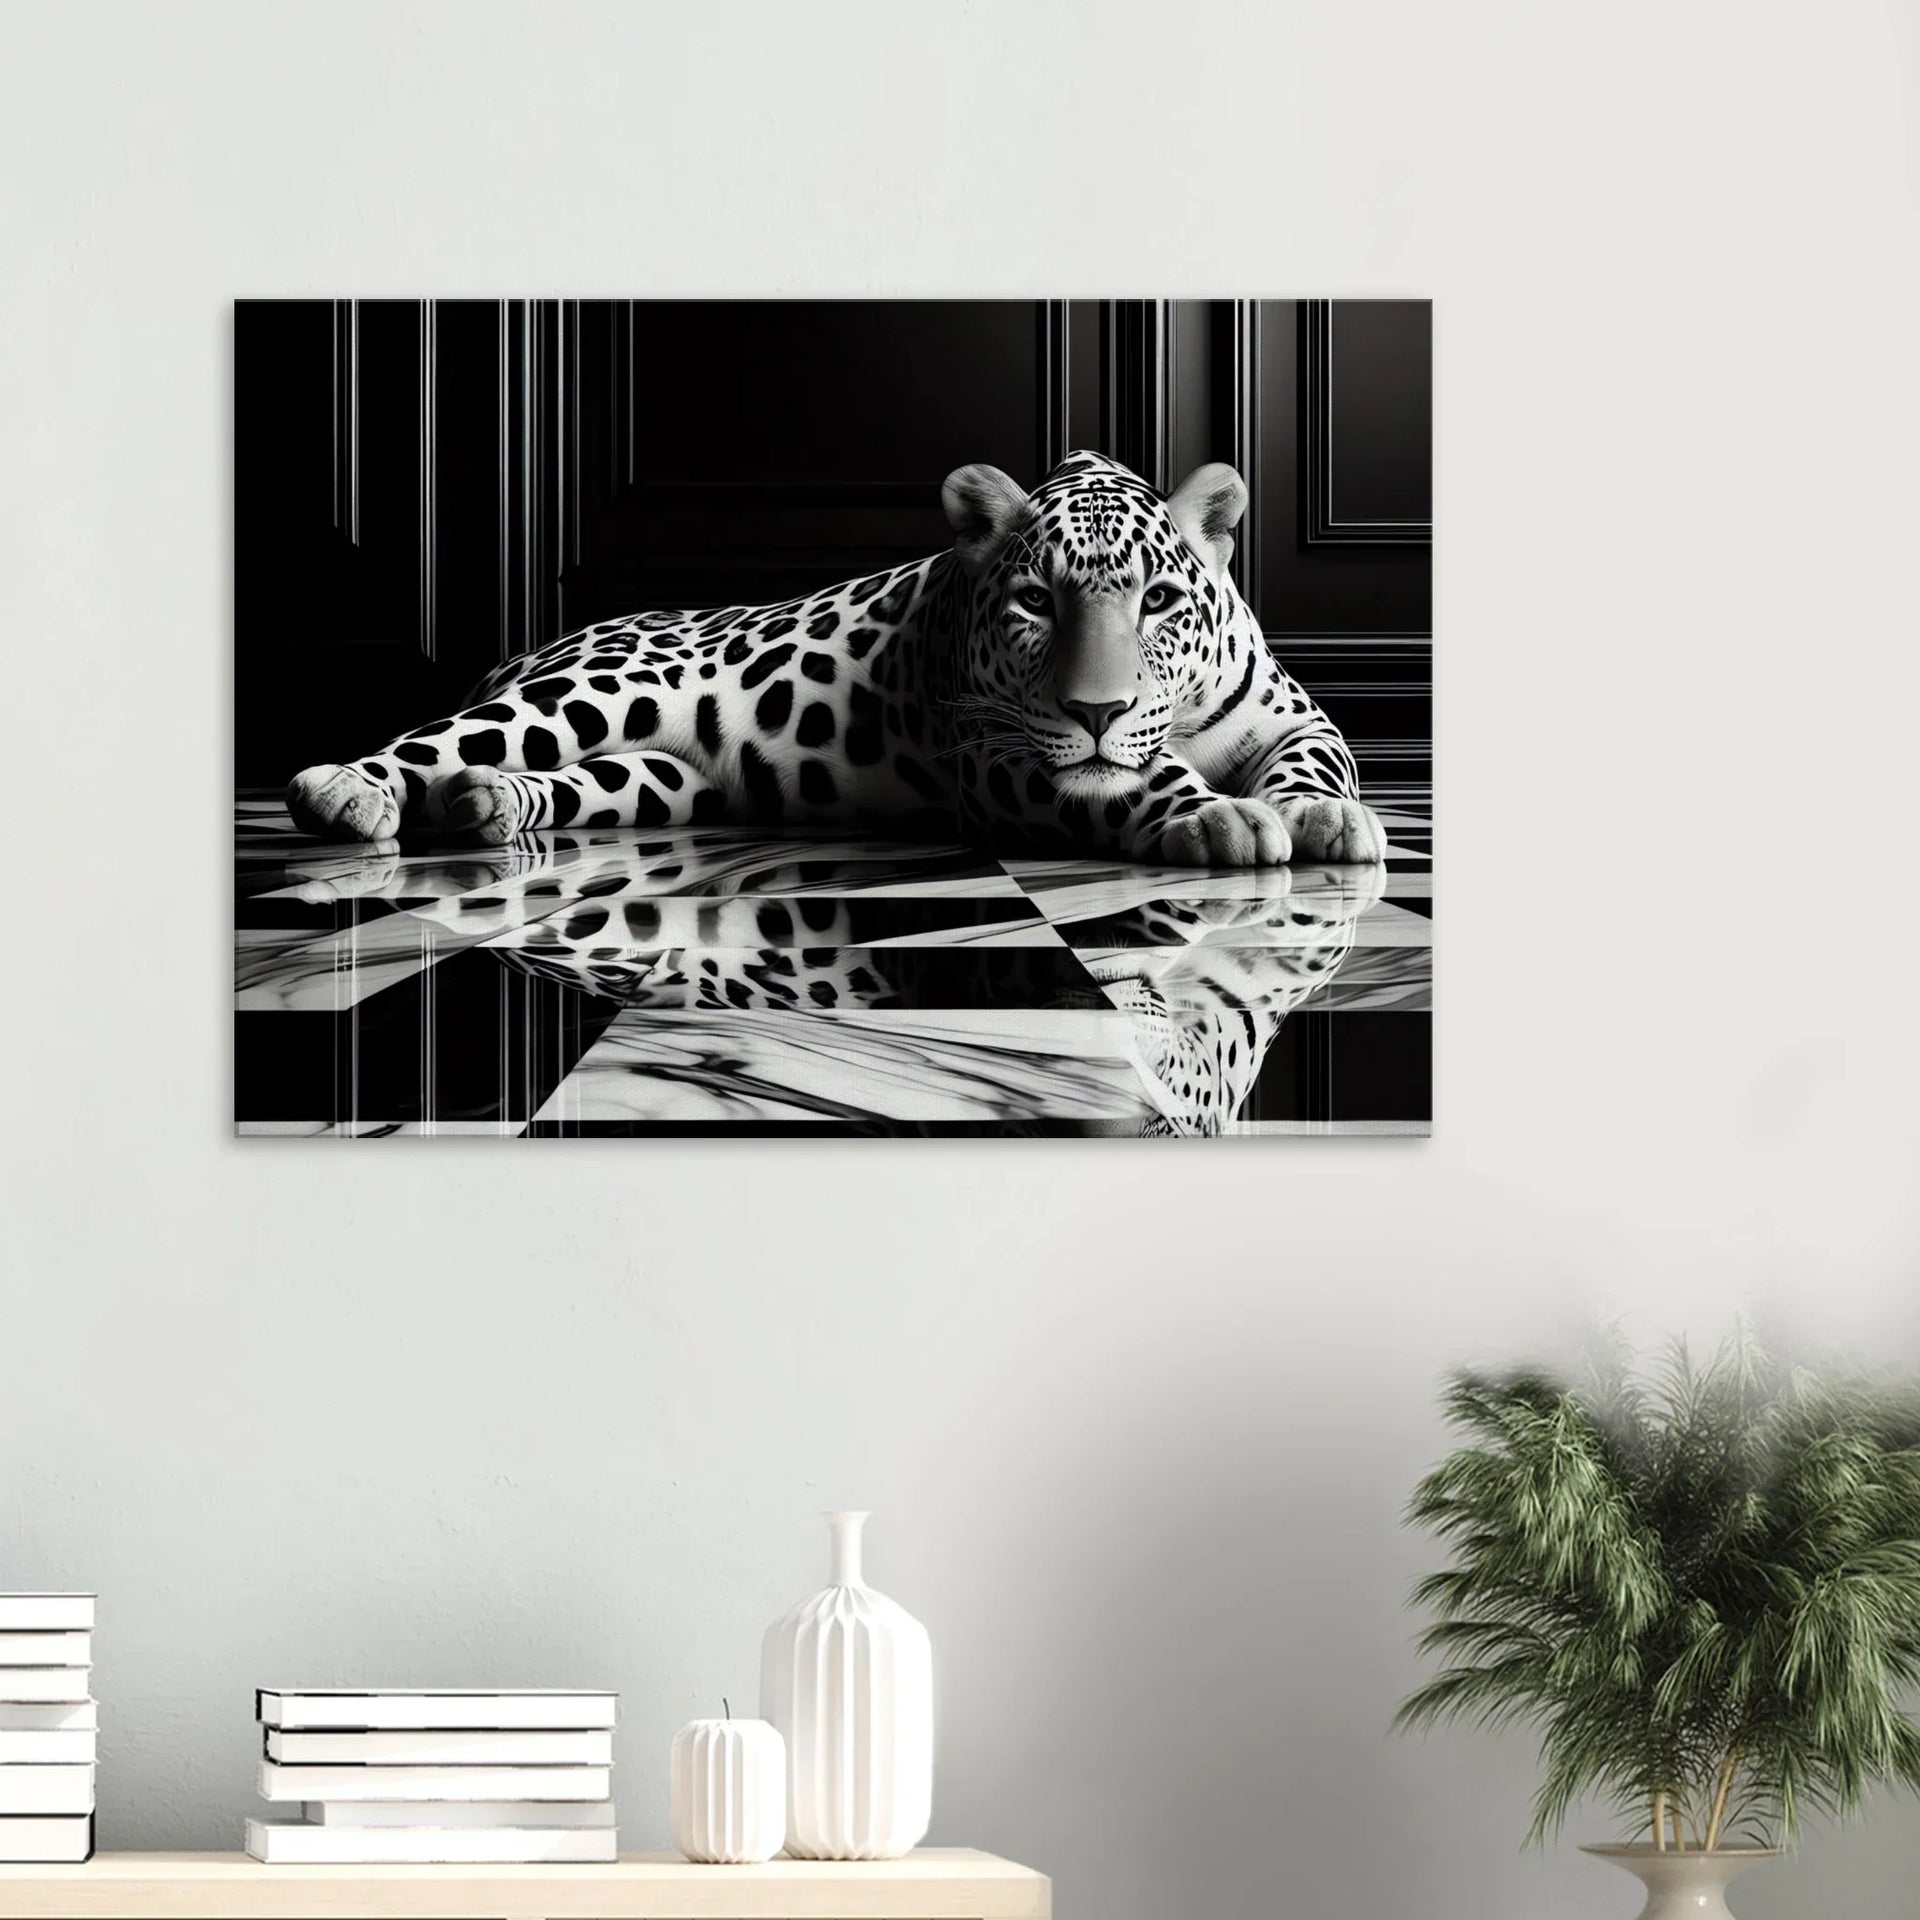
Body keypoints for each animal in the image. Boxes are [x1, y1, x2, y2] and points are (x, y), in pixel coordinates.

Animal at [285, 450, 1385, 869]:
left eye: (1158, 601)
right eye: (1036, 601)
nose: (1097, 711)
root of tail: (534, 645)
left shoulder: (1292, 712)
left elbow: (1315, 759)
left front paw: (1324, 815)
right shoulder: (1006, 755)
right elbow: (1139, 777)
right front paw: (1217, 817)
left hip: (661, 780)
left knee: (556, 778)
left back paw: (488, 804)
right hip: (603, 690)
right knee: (449, 737)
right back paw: (347, 791)